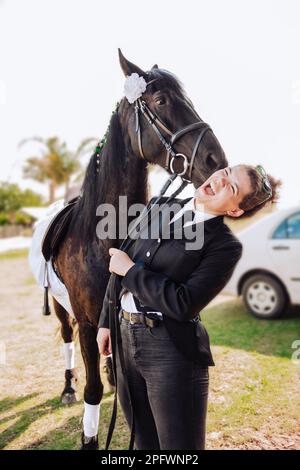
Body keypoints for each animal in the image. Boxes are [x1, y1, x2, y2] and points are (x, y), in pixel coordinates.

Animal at [53, 49, 227, 450]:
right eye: (161, 100)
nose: (216, 161)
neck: (101, 239)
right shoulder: (88, 322)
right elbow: (92, 390)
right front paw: (88, 436)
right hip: (60, 308)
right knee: (67, 341)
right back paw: (68, 388)